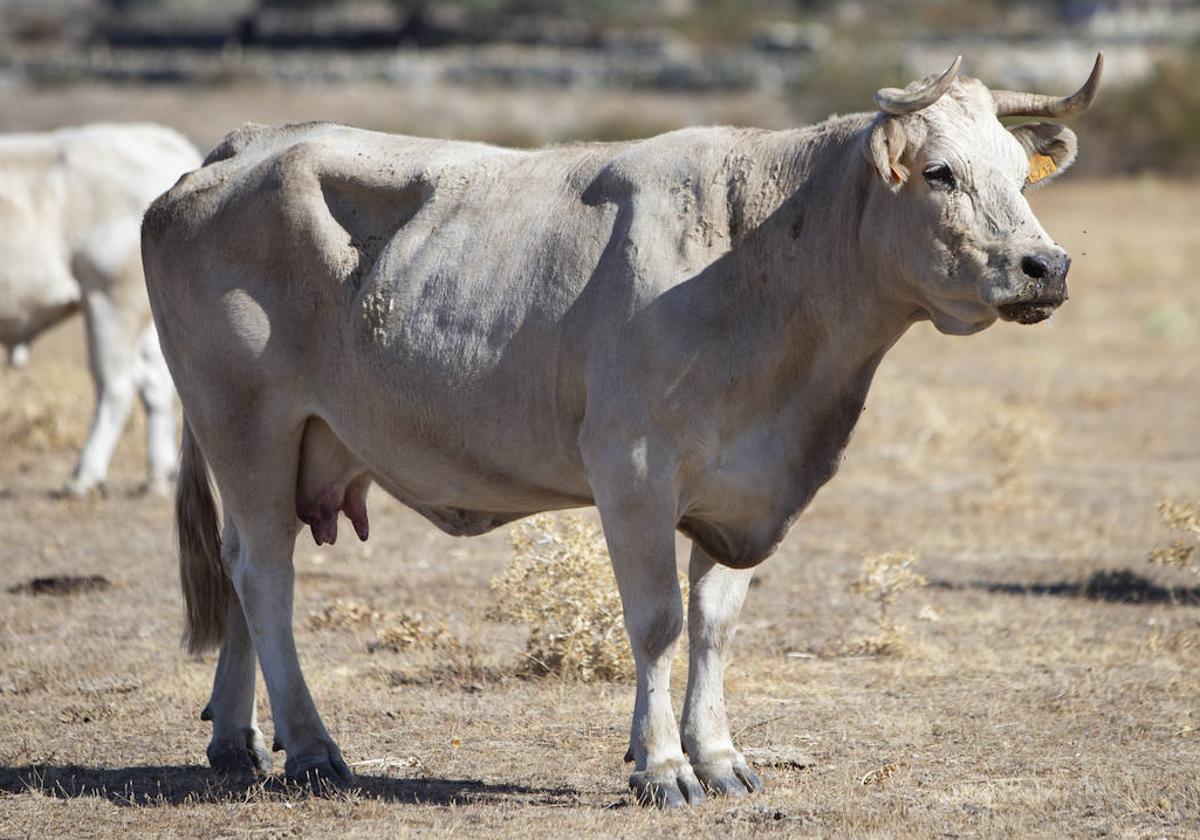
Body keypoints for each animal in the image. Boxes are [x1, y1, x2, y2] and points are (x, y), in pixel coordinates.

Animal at [142, 55, 1104, 801]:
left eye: (1018, 171)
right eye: (940, 172)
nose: (1046, 265)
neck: (765, 264)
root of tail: (248, 143)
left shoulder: (745, 488)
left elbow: (714, 621)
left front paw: (719, 757)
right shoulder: (633, 470)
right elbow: (656, 622)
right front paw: (663, 768)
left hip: (282, 443)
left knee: (239, 570)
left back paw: (236, 740)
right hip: (245, 422)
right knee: (265, 575)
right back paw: (311, 747)